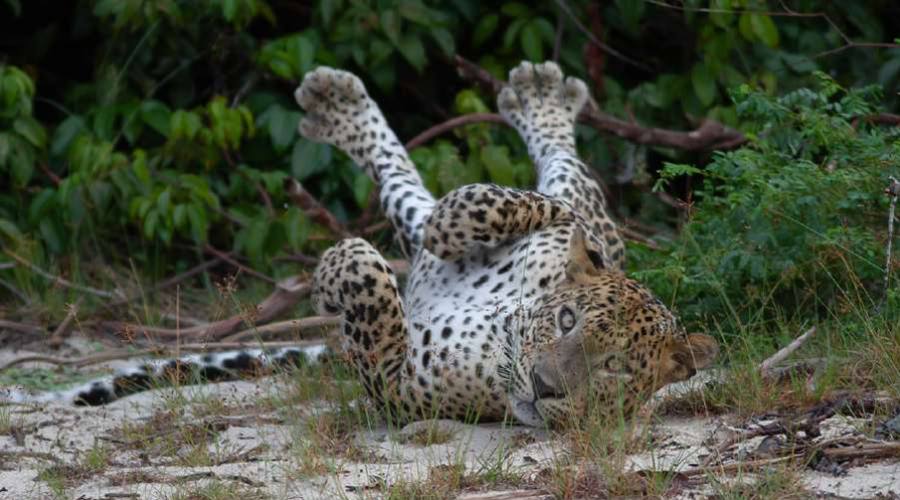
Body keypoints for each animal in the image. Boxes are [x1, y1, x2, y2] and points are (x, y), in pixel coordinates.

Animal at [0, 59, 716, 426]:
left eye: (617, 369)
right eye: (566, 320)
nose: (544, 387)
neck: (502, 329)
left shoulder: (393, 389)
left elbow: (370, 286)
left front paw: (337, 269)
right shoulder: (539, 229)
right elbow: (481, 204)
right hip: (545, 216)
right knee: (448, 188)